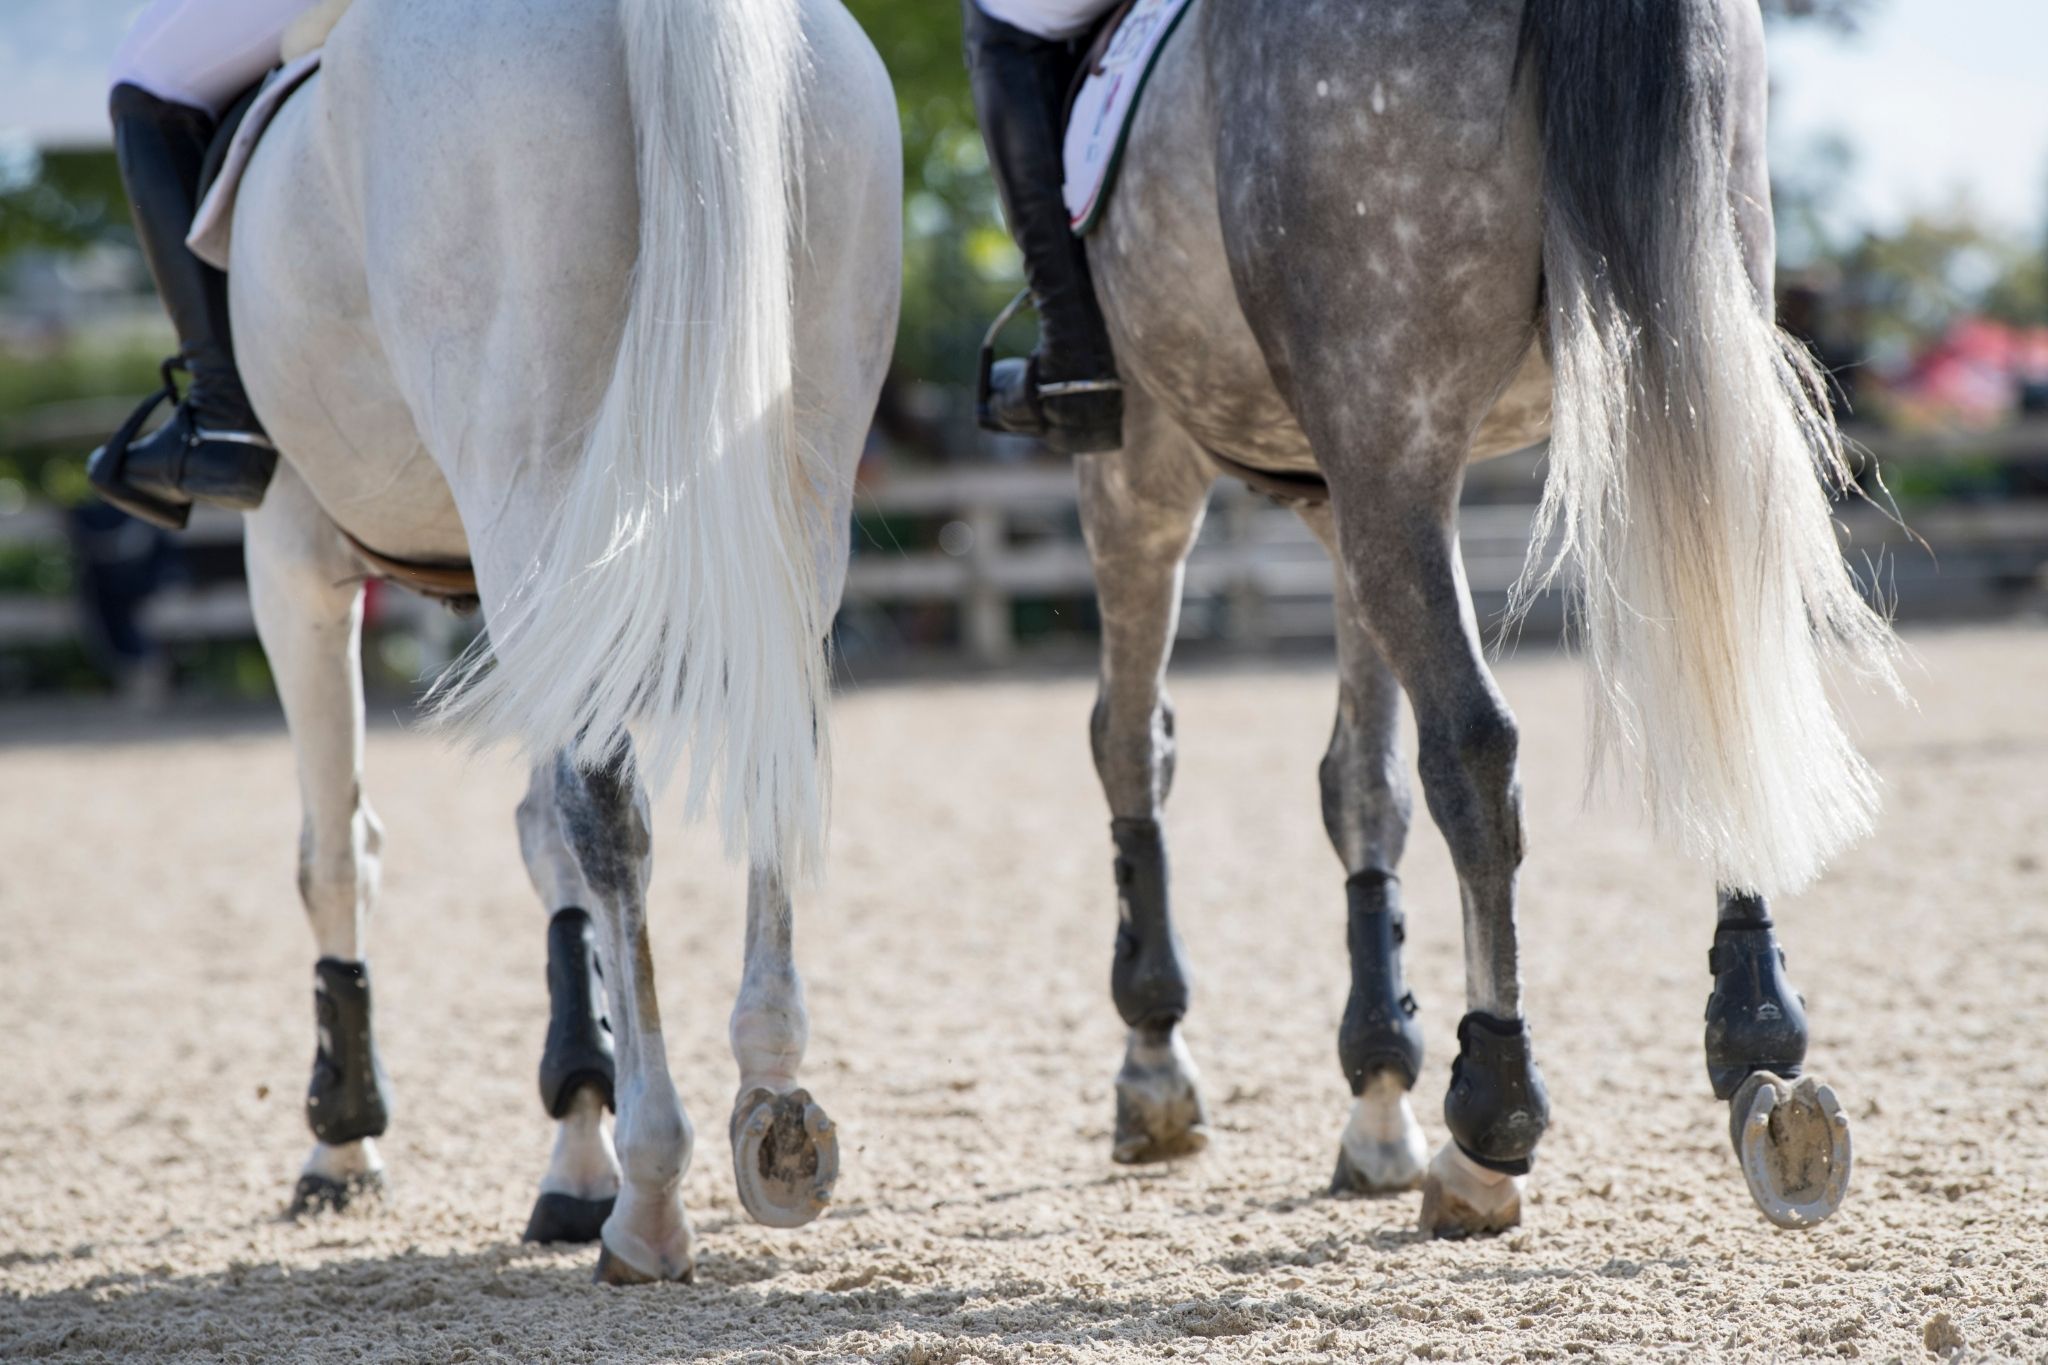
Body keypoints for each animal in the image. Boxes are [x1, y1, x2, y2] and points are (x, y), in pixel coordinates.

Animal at [220, 0, 899, 1281]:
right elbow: (544, 850)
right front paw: (572, 1146)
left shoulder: (291, 555)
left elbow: (335, 849)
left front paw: (344, 1139)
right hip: (788, 485)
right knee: (763, 758)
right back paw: (771, 1111)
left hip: (524, 480)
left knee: (606, 812)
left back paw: (652, 1193)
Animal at [1069, 0, 1896, 1235]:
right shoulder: (1338, 495)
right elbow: (1361, 784)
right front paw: (1375, 1092)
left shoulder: (1146, 465)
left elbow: (1135, 744)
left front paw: (1157, 1060)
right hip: (1666, 349)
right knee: (1719, 669)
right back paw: (1760, 1055)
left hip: (1376, 433)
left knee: (1472, 747)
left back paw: (1491, 1117)